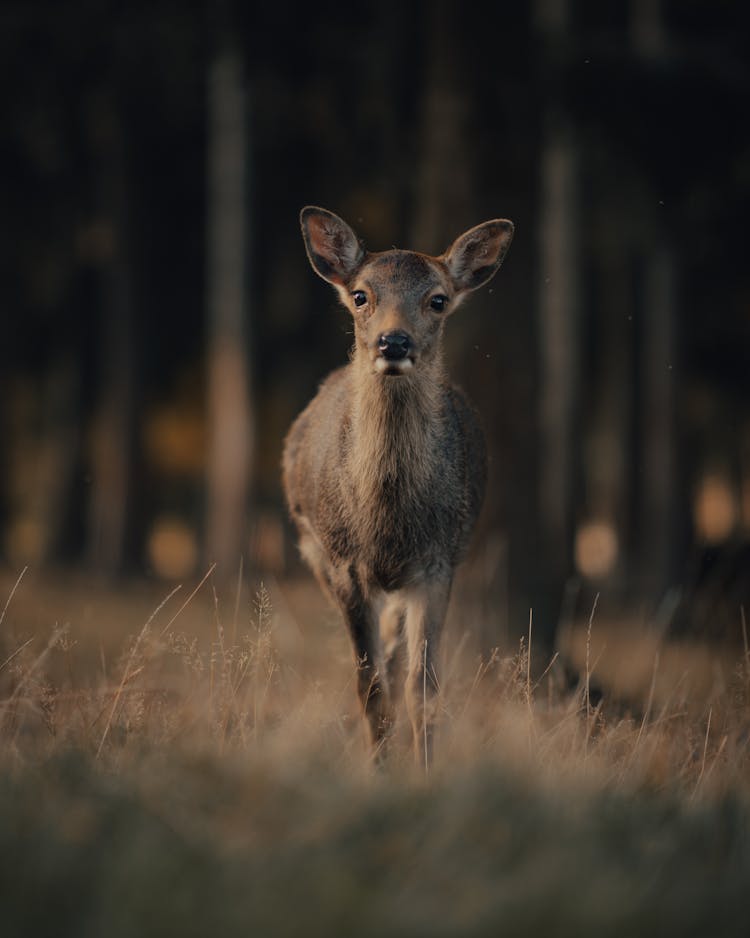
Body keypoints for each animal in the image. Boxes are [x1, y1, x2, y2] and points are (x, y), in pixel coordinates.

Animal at [284, 207, 516, 768]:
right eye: (361, 295)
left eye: (438, 299)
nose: (394, 342)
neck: (388, 523)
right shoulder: (344, 564)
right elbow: (369, 685)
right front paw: (379, 770)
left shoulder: (438, 563)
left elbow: (423, 686)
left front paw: (423, 770)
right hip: (315, 553)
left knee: (395, 659)